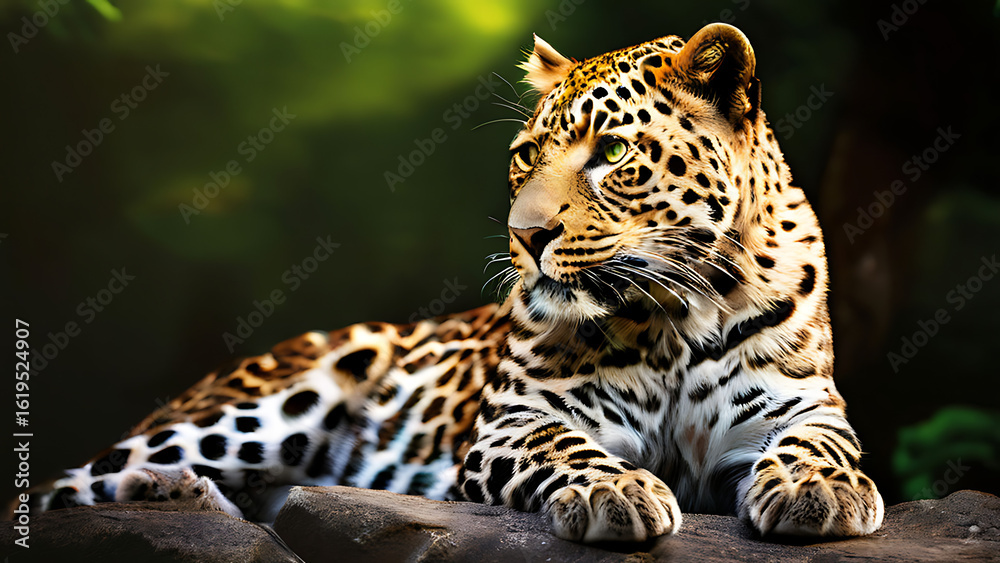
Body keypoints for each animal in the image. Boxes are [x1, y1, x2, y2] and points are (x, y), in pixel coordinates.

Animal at [19, 23, 883, 543]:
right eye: (526, 156)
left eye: (610, 153)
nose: (525, 236)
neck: (672, 312)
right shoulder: (514, 422)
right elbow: (565, 445)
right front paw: (616, 492)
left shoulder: (796, 406)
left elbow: (820, 443)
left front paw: (821, 490)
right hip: (270, 403)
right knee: (56, 490)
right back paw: (165, 490)